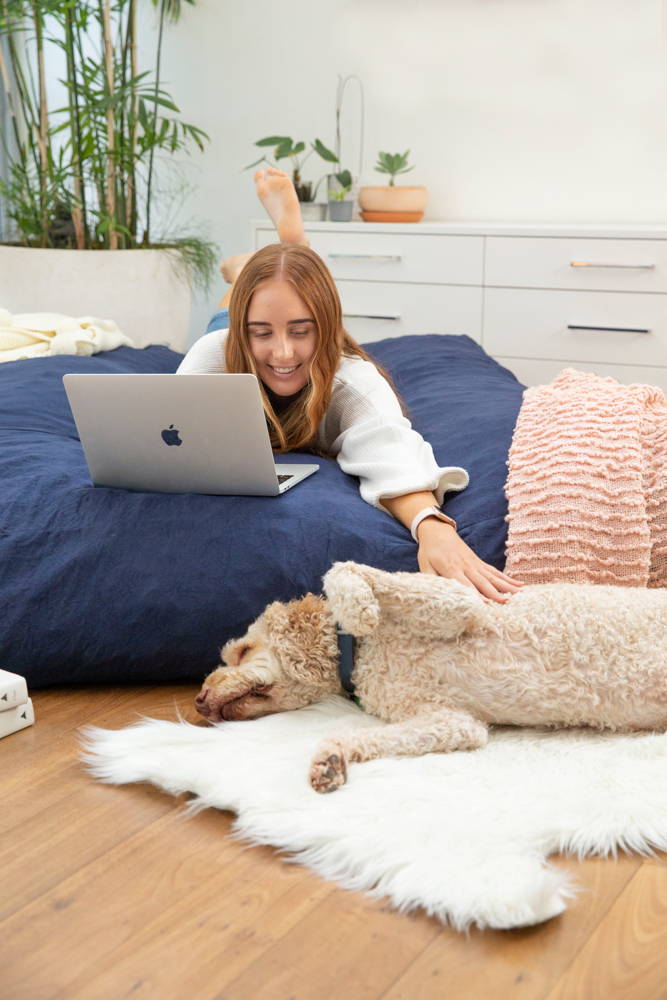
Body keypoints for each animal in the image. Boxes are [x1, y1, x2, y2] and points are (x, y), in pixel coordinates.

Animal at [194, 564, 667, 788]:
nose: (199, 701)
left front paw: (361, 608)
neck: (360, 657)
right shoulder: (451, 720)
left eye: (242, 651)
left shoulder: (460, 600)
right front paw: (331, 759)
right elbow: (364, 737)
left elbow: (346, 571)